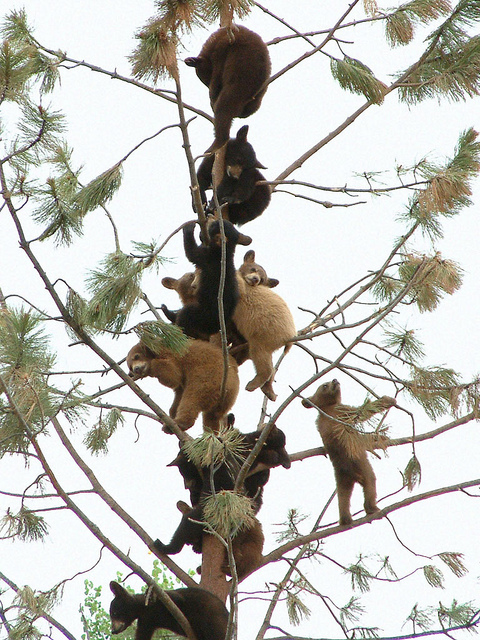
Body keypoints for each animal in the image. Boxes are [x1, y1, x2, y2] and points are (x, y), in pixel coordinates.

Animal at [232, 250, 297, 401]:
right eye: (253, 269)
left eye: (262, 279)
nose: (255, 279)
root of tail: (290, 337)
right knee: (271, 365)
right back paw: (269, 391)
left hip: (264, 334)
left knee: (261, 360)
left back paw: (253, 384)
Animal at [302, 379, 396, 526]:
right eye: (324, 385)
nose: (335, 380)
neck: (326, 408)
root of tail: (351, 475)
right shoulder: (343, 411)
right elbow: (362, 412)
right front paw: (388, 399)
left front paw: (381, 437)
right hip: (363, 467)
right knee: (370, 483)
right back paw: (372, 508)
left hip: (340, 478)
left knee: (343, 498)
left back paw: (345, 520)